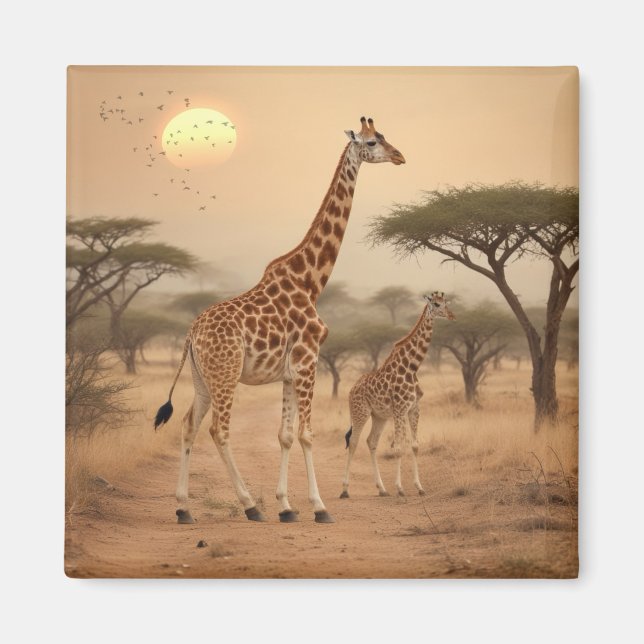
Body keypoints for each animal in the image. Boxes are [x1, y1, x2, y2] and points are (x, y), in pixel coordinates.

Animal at [154, 117, 406, 524]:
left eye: (384, 137)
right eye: (372, 142)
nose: (400, 156)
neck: (312, 281)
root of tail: (191, 333)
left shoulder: (289, 372)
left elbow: (285, 435)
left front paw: (287, 506)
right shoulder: (308, 362)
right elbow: (306, 434)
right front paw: (319, 507)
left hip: (201, 377)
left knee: (189, 424)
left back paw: (183, 508)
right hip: (226, 373)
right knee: (218, 430)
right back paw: (249, 505)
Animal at [340, 292, 455, 499]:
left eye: (446, 302)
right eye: (436, 304)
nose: (452, 315)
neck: (411, 367)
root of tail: (351, 390)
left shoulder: (414, 408)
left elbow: (415, 445)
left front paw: (419, 487)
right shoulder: (400, 409)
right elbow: (399, 447)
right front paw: (400, 488)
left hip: (379, 416)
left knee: (371, 442)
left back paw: (382, 489)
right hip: (360, 412)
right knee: (353, 441)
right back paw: (345, 489)